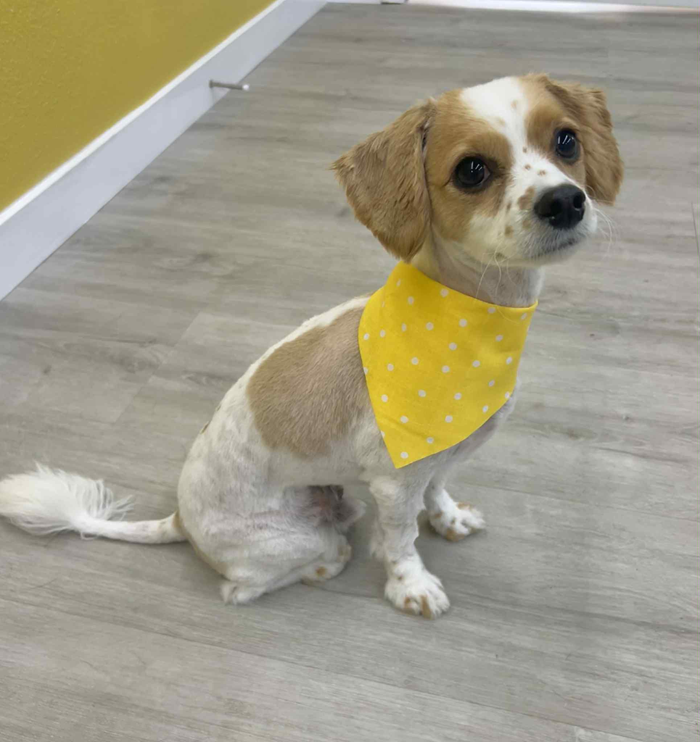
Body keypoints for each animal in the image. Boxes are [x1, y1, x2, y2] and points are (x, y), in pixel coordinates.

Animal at [0, 74, 622, 619]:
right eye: (472, 170)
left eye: (566, 140)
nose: (565, 201)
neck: (469, 322)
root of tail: (180, 519)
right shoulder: (395, 480)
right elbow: (401, 538)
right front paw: (411, 585)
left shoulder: (440, 454)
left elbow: (438, 488)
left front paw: (447, 518)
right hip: (288, 542)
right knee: (245, 586)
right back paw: (328, 560)